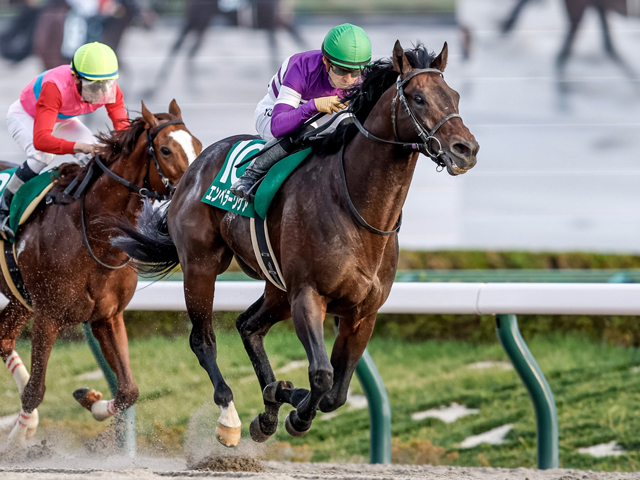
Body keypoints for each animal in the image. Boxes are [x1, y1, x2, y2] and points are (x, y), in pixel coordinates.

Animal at [0, 100, 200, 446]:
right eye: (165, 149)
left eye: (198, 145)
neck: (90, 234)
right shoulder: (48, 316)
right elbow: (35, 391)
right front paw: (16, 439)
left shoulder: (107, 315)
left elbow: (129, 391)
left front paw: (90, 399)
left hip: (19, 299)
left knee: (3, 337)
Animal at [115, 41, 478, 446]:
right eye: (418, 98)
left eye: (454, 96)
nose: (466, 148)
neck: (356, 206)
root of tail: (193, 169)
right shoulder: (308, 295)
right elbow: (322, 375)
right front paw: (298, 415)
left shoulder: (363, 313)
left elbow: (336, 392)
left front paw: (282, 401)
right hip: (202, 265)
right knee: (203, 340)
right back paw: (231, 417)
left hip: (277, 288)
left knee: (248, 326)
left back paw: (270, 404)